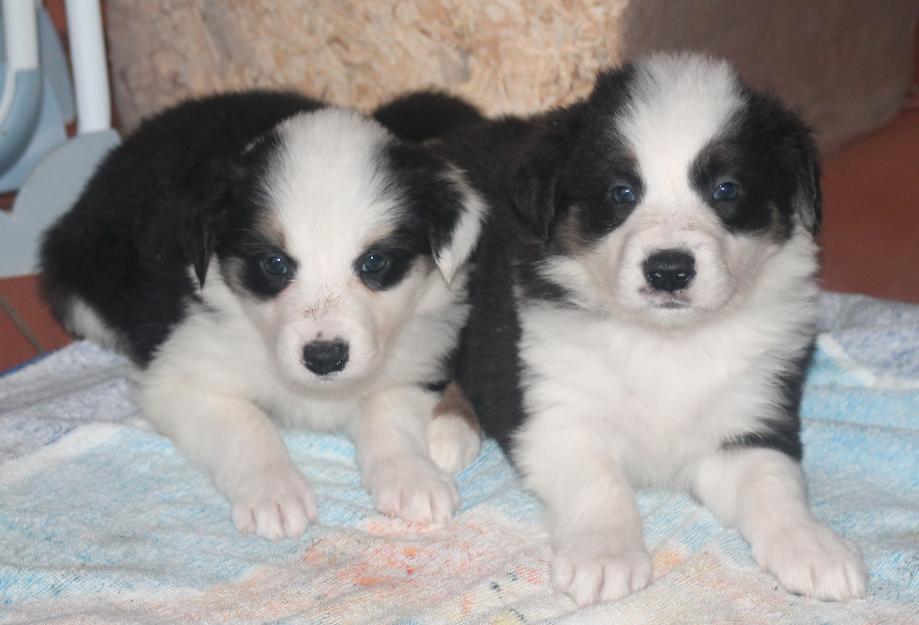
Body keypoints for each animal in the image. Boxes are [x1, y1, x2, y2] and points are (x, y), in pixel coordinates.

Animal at [41, 90, 488, 540]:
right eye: (275, 264)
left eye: (374, 262)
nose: (324, 357)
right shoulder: (182, 378)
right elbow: (247, 425)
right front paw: (275, 494)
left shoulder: (416, 361)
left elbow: (389, 412)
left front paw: (413, 478)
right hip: (81, 275)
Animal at [380, 53, 868, 604]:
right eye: (621, 192)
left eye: (726, 189)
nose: (669, 270)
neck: (667, 341)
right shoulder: (558, 410)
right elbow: (598, 483)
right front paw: (605, 555)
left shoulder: (752, 414)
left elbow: (774, 481)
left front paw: (812, 546)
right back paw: (448, 427)